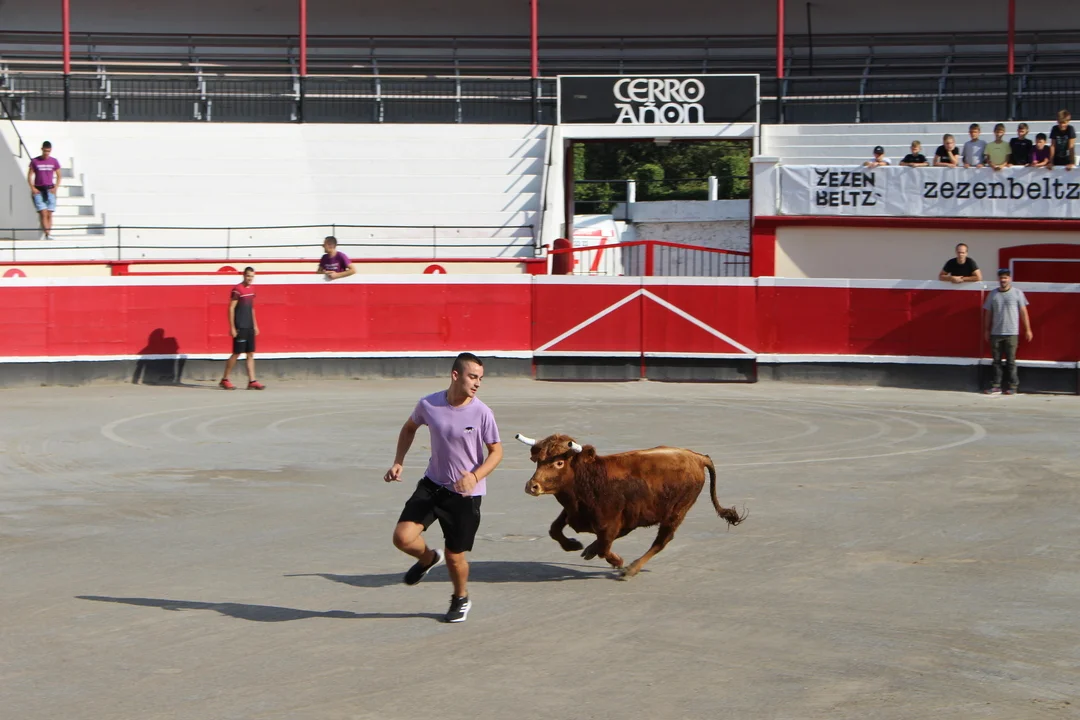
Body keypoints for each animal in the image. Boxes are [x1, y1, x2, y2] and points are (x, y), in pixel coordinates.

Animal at [515, 433, 745, 579]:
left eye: (559, 462)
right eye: (538, 461)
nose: (531, 486)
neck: (592, 477)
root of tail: (697, 457)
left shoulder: (609, 524)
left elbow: (605, 547)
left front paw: (617, 561)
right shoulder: (574, 511)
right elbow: (554, 529)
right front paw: (574, 545)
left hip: (677, 512)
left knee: (662, 541)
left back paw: (631, 569)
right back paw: (591, 550)